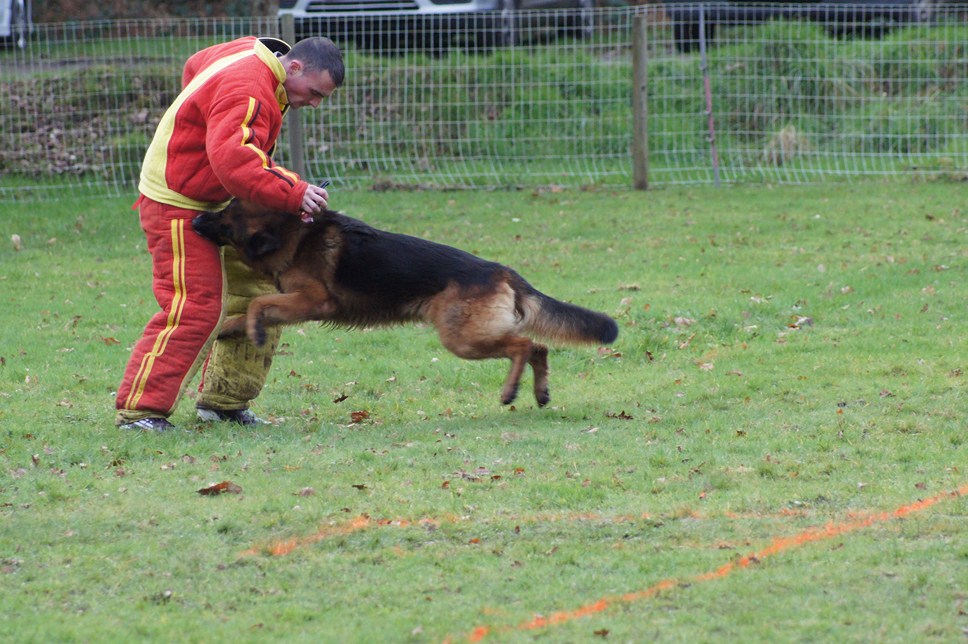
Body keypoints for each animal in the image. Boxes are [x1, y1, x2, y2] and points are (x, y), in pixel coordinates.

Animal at [195, 201, 620, 406]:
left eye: (225, 218)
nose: (197, 220)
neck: (292, 233)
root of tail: (500, 270)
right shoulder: (294, 301)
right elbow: (243, 314)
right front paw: (228, 331)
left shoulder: (313, 302)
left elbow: (257, 305)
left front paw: (253, 330)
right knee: (540, 348)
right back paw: (540, 393)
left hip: (461, 338)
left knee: (525, 344)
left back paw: (510, 392)